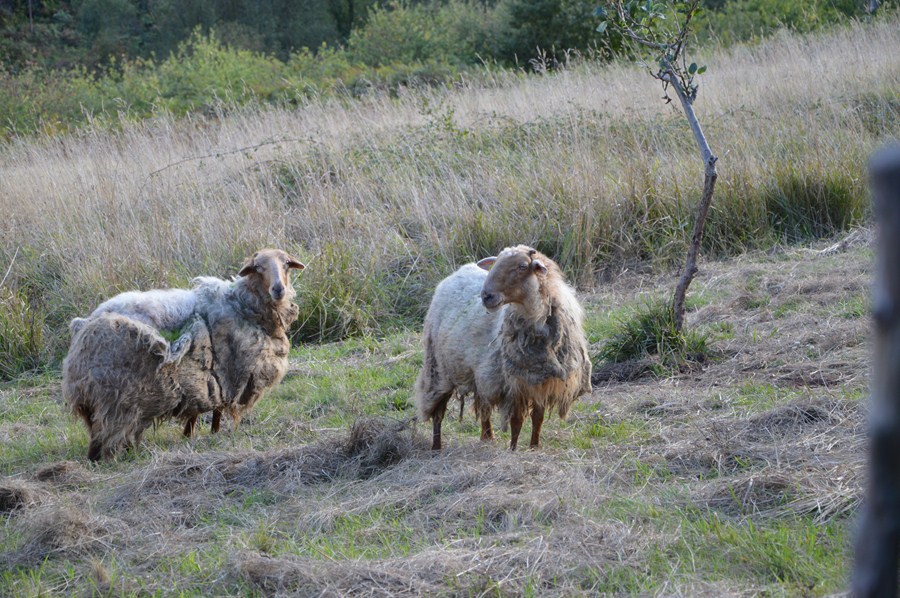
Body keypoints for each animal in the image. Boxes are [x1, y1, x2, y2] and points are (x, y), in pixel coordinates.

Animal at [62, 249, 305, 460]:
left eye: (286, 264)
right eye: (258, 267)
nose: (278, 289)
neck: (241, 302)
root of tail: (85, 323)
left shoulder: (207, 378)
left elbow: (201, 409)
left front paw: (192, 435)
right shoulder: (223, 374)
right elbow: (214, 408)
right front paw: (210, 434)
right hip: (116, 394)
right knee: (110, 428)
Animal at [415, 245, 592, 450]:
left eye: (522, 266)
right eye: (496, 263)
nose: (486, 296)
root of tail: (458, 271)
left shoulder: (541, 380)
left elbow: (537, 419)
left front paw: (534, 447)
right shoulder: (512, 384)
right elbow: (516, 421)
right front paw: (513, 449)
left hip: (479, 372)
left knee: (483, 405)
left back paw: (487, 437)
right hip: (438, 367)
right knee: (437, 410)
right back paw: (436, 446)